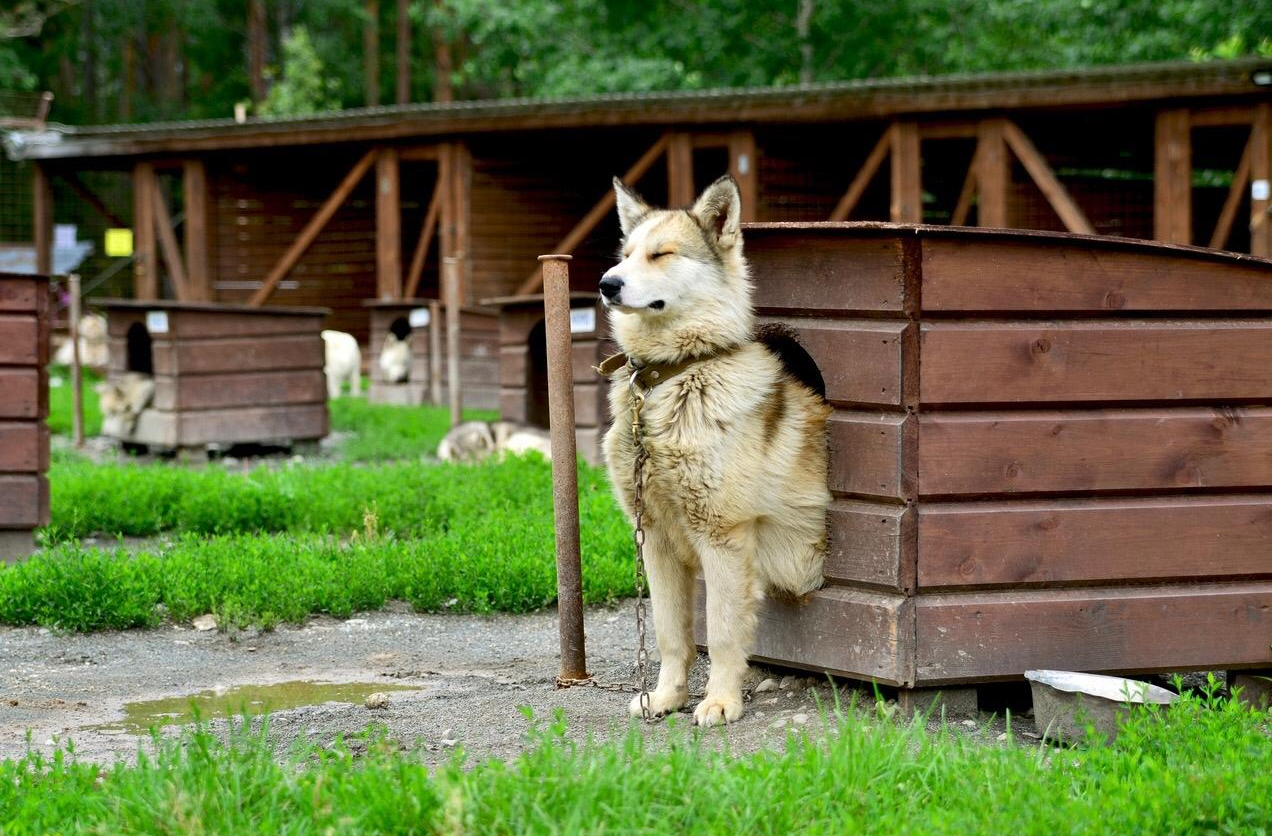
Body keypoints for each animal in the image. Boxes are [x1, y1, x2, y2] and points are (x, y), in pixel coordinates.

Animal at [599, 174, 832, 727]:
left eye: (661, 254)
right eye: (625, 254)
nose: (606, 284)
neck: (672, 378)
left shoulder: (723, 538)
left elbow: (724, 633)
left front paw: (722, 701)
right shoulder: (655, 539)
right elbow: (670, 633)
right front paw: (666, 696)